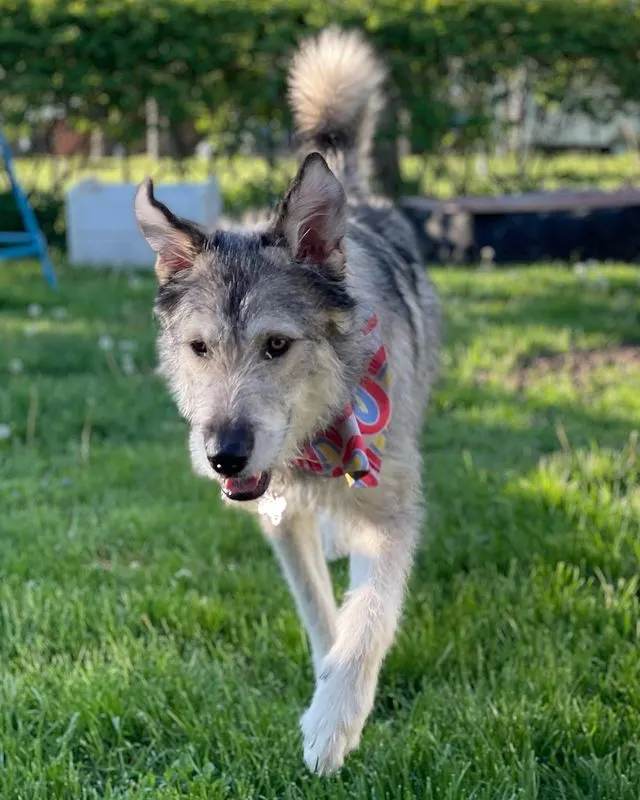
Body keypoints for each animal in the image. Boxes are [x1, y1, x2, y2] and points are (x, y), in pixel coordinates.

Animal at [135, 26, 440, 776]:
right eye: (199, 348)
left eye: (277, 345)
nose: (223, 456)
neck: (316, 443)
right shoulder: (278, 519)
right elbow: (322, 616)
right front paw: (327, 685)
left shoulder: (394, 511)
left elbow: (368, 619)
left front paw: (334, 722)